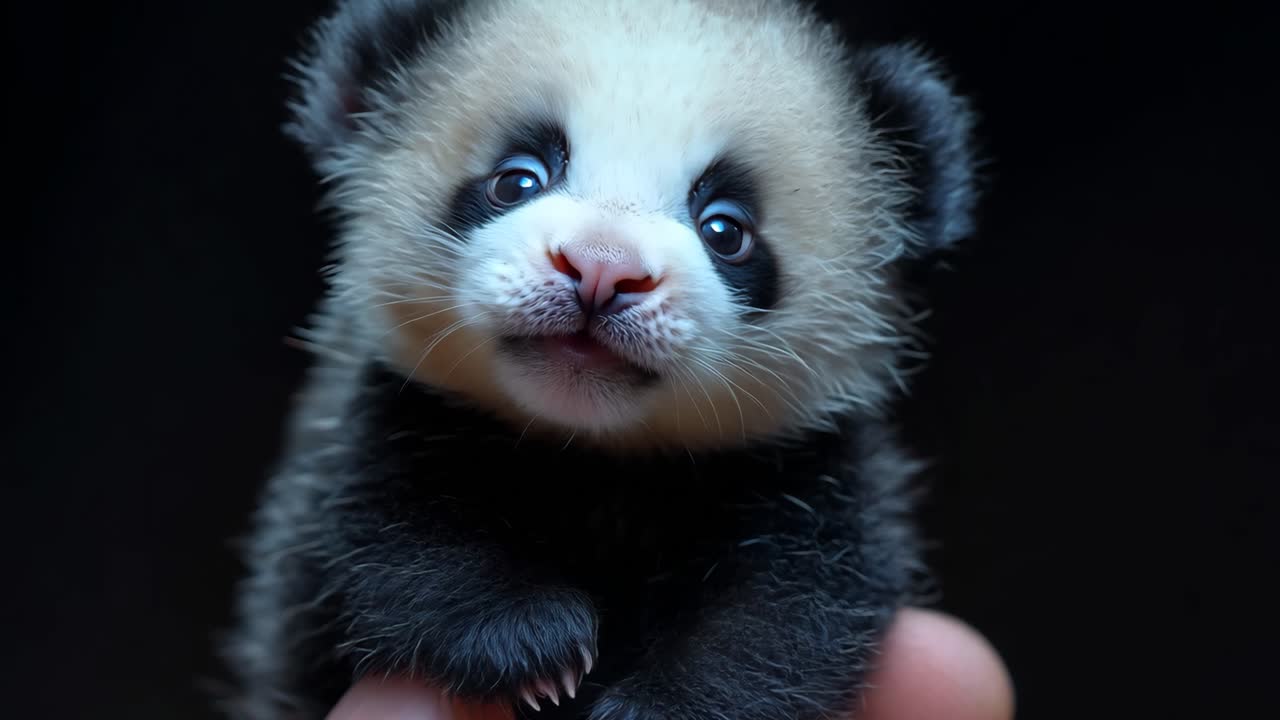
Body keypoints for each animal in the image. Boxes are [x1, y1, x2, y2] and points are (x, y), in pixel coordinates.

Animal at [222, 0, 980, 718]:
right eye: (517, 180)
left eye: (726, 229)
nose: (601, 270)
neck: (593, 452)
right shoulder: (384, 418)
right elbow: (389, 530)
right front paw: (528, 643)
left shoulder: (806, 469)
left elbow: (792, 610)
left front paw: (666, 705)